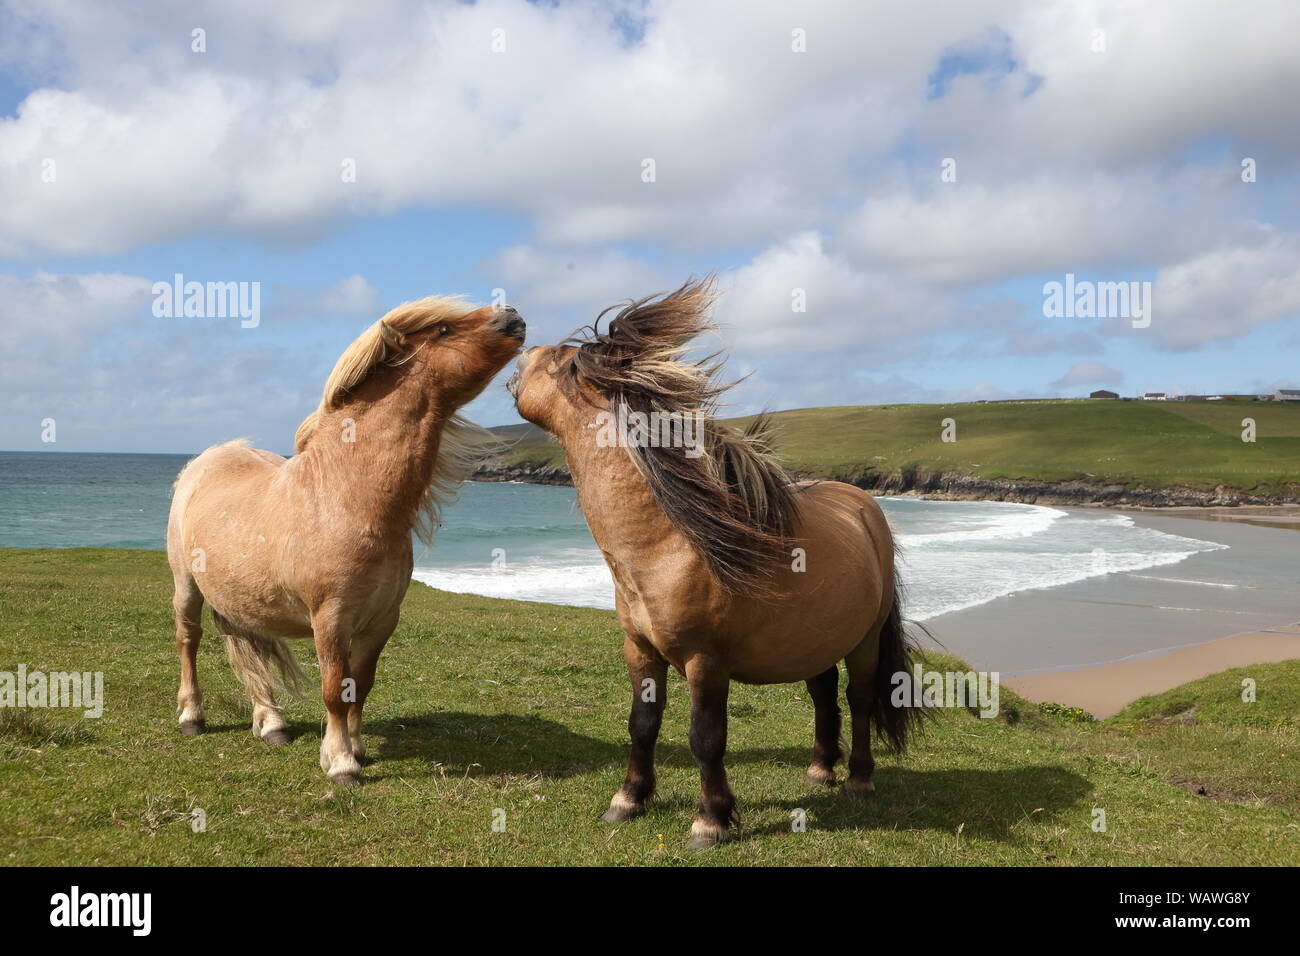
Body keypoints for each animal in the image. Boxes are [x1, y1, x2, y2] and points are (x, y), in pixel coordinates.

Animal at [167, 299, 522, 785]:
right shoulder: (331, 619)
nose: (513, 318)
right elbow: (335, 689)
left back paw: (271, 723)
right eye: (444, 330)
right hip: (187, 587)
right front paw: (339, 763)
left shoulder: (381, 621)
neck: (347, 497)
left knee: (249, 648)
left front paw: (356, 747)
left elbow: (361, 685)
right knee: (188, 640)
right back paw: (192, 717)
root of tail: (208, 460)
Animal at [506, 278, 925, 853]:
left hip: (864, 640)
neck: (670, 546)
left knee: (858, 699)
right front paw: (629, 799)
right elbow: (642, 723)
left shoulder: (706, 662)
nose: (518, 345)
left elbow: (705, 738)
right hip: (815, 639)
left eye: (556, 358)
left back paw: (859, 779)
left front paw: (711, 819)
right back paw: (821, 768)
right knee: (823, 696)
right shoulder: (640, 652)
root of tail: (864, 505)